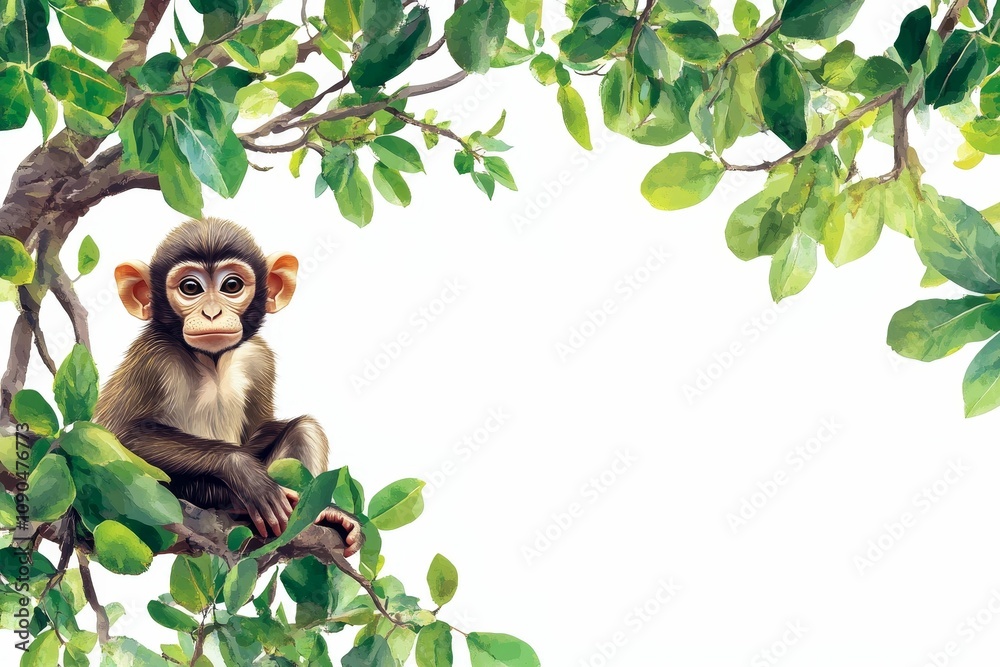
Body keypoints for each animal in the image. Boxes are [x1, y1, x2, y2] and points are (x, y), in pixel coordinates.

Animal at [93, 217, 362, 556]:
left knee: (306, 428)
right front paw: (241, 469)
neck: (212, 363)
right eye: (190, 288)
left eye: (231, 286)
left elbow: (261, 428)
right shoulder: (153, 358)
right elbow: (118, 436)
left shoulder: (259, 358)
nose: (212, 312)